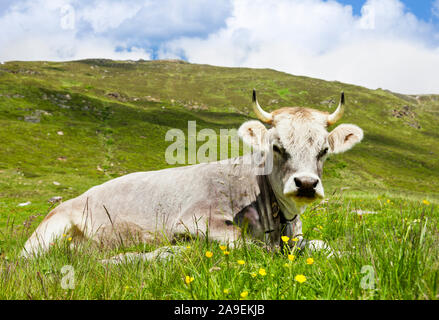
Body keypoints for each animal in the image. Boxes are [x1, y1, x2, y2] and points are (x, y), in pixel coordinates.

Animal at [21, 89, 364, 258]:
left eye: (324, 150)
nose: (306, 184)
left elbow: (322, 246)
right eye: (277, 147)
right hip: (49, 231)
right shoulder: (196, 219)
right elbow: (247, 244)